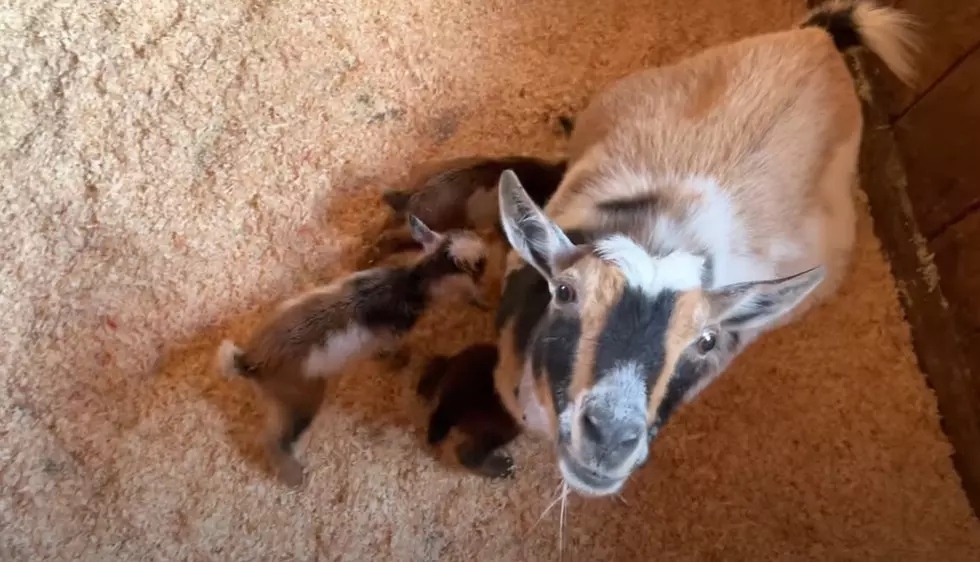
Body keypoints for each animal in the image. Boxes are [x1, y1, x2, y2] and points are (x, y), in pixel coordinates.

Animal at [216, 214, 488, 486]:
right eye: (478, 263)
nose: (486, 250)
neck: (412, 282)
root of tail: (249, 362)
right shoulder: (391, 337)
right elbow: (392, 352)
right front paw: (399, 361)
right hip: (302, 402)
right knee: (279, 443)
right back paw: (296, 477)